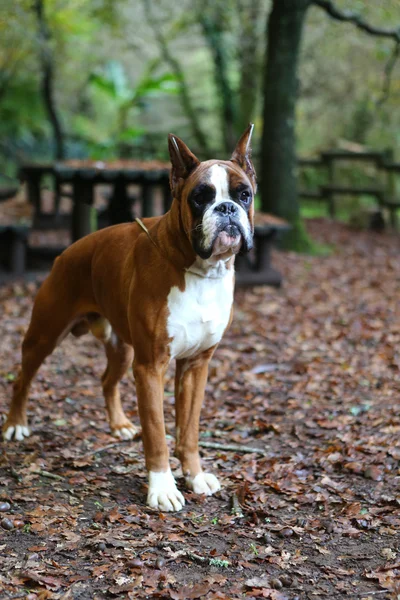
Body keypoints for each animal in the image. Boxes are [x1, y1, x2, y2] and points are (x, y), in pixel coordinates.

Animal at [3, 125, 256, 510]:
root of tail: (68, 251)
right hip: (45, 335)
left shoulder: (196, 366)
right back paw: (15, 424)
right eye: (200, 198)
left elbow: (189, 429)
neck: (198, 270)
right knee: (22, 380)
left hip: (122, 349)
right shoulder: (150, 367)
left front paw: (195, 475)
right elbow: (157, 433)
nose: (226, 208)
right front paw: (163, 487)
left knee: (107, 380)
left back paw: (119, 424)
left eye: (245, 195)